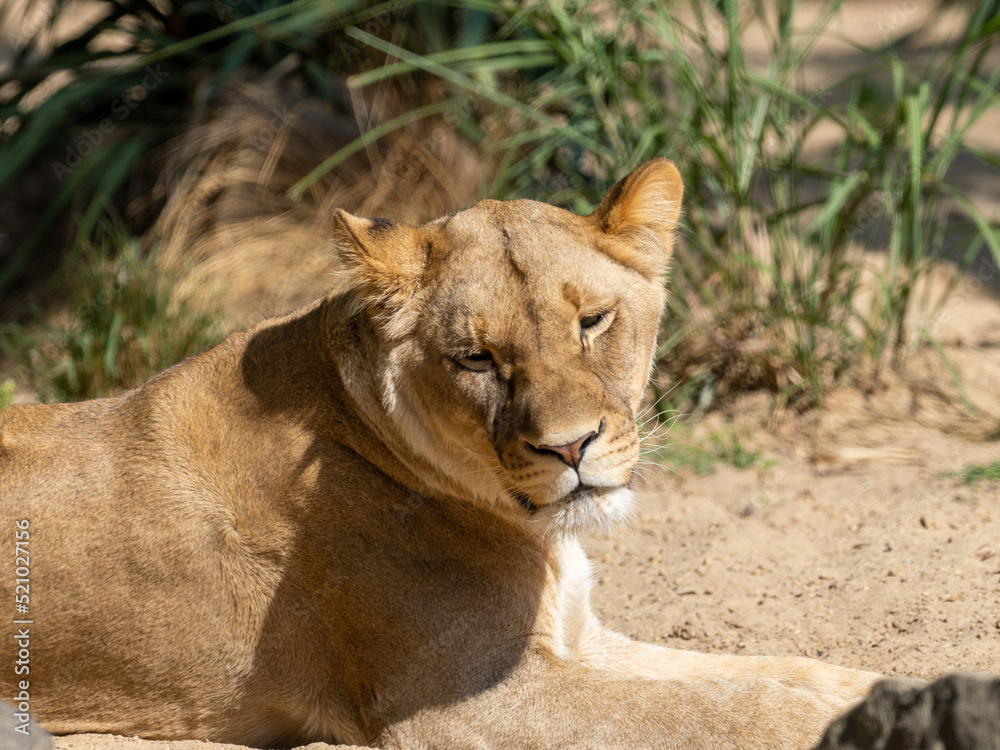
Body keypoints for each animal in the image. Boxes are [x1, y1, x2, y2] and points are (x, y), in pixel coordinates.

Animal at [0, 159, 882, 749]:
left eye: (593, 321)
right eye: (476, 359)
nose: (572, 445)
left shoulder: (578, 638)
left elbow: (778, 668)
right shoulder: (469, 703)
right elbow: (733, 708)